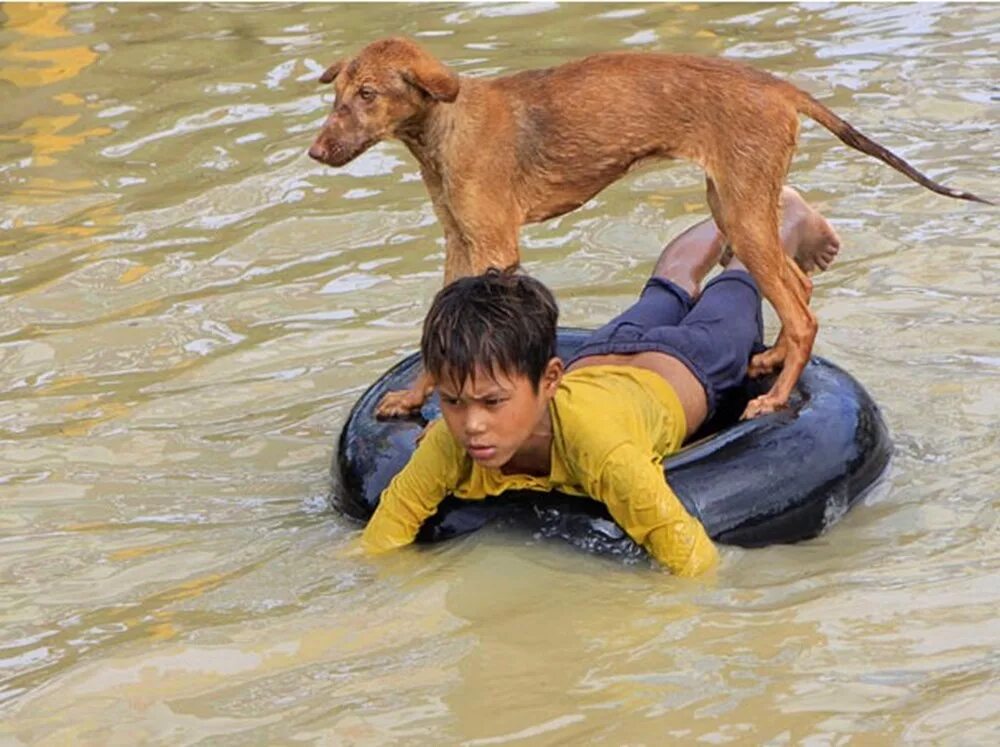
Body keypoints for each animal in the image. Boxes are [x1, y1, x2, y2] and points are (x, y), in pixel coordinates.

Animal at [308, 36, 988, 420]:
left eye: (367, 94)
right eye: (337, 95)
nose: (316, 151)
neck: (443, 130)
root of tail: (777, 85)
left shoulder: (495, 244)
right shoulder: (459, 242)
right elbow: (434, 325)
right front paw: (411, 398)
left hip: (742, 210)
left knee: (801, 311)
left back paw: (773, 399)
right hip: (733, 206)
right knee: (799, 288)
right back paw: (770, 359)